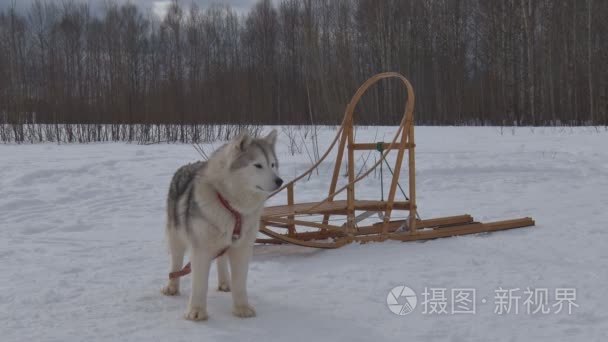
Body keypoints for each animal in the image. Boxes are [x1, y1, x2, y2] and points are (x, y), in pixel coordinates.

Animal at [163, 130, 284, 320]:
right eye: (258, 165)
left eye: (273, 164)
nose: (280, 181)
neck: (232, 207)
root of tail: (185, 167)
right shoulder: (200, 249)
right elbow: (199, 283)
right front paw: (196, 311)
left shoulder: (242, 248)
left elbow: (240, 282)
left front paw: (242, 307)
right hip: (177, 236)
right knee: (176, 262)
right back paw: (172, 286)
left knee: (221, 259)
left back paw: (225, 282)